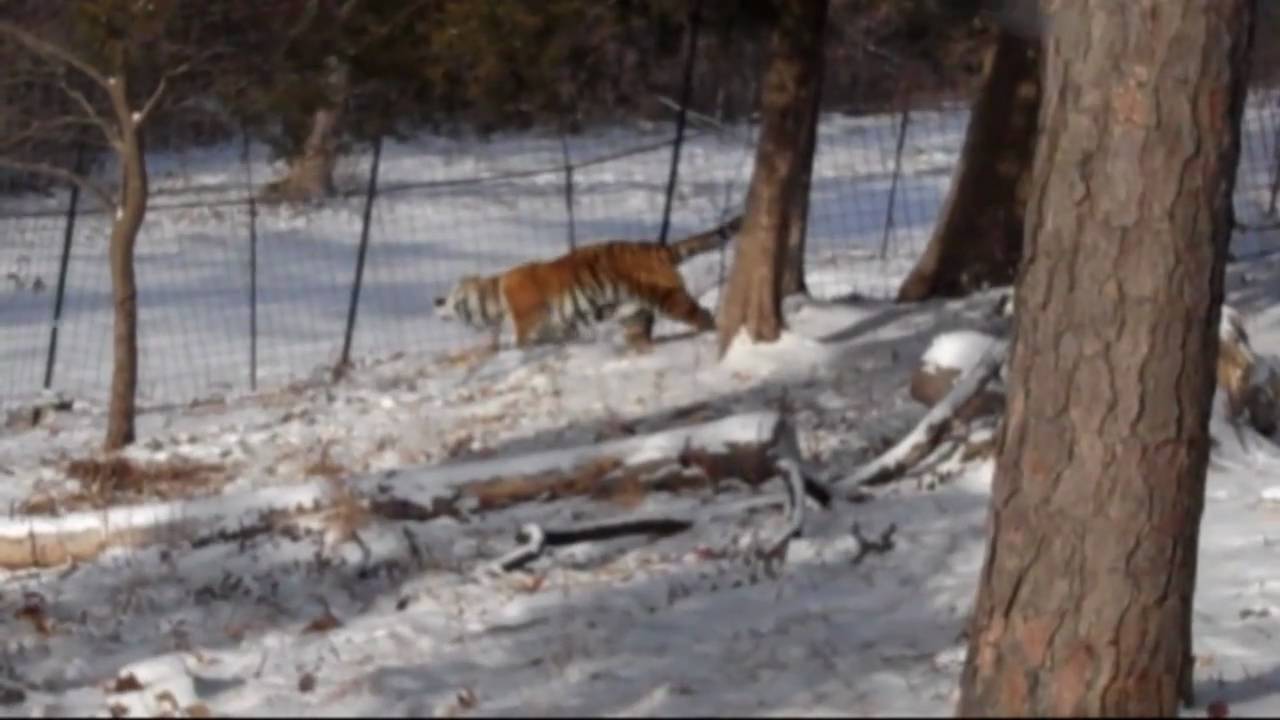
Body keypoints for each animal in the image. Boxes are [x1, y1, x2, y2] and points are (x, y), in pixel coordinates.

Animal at [434, 215, 742, 350]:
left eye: (450, 294)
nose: (436, 300)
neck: (496, 295)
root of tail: (658, 248)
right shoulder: (559, 326)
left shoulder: (528, 318)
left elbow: (522, 340)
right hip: (632, 312)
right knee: (640, 333)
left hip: (668, 298)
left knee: (702, 315)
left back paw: (712, 335)